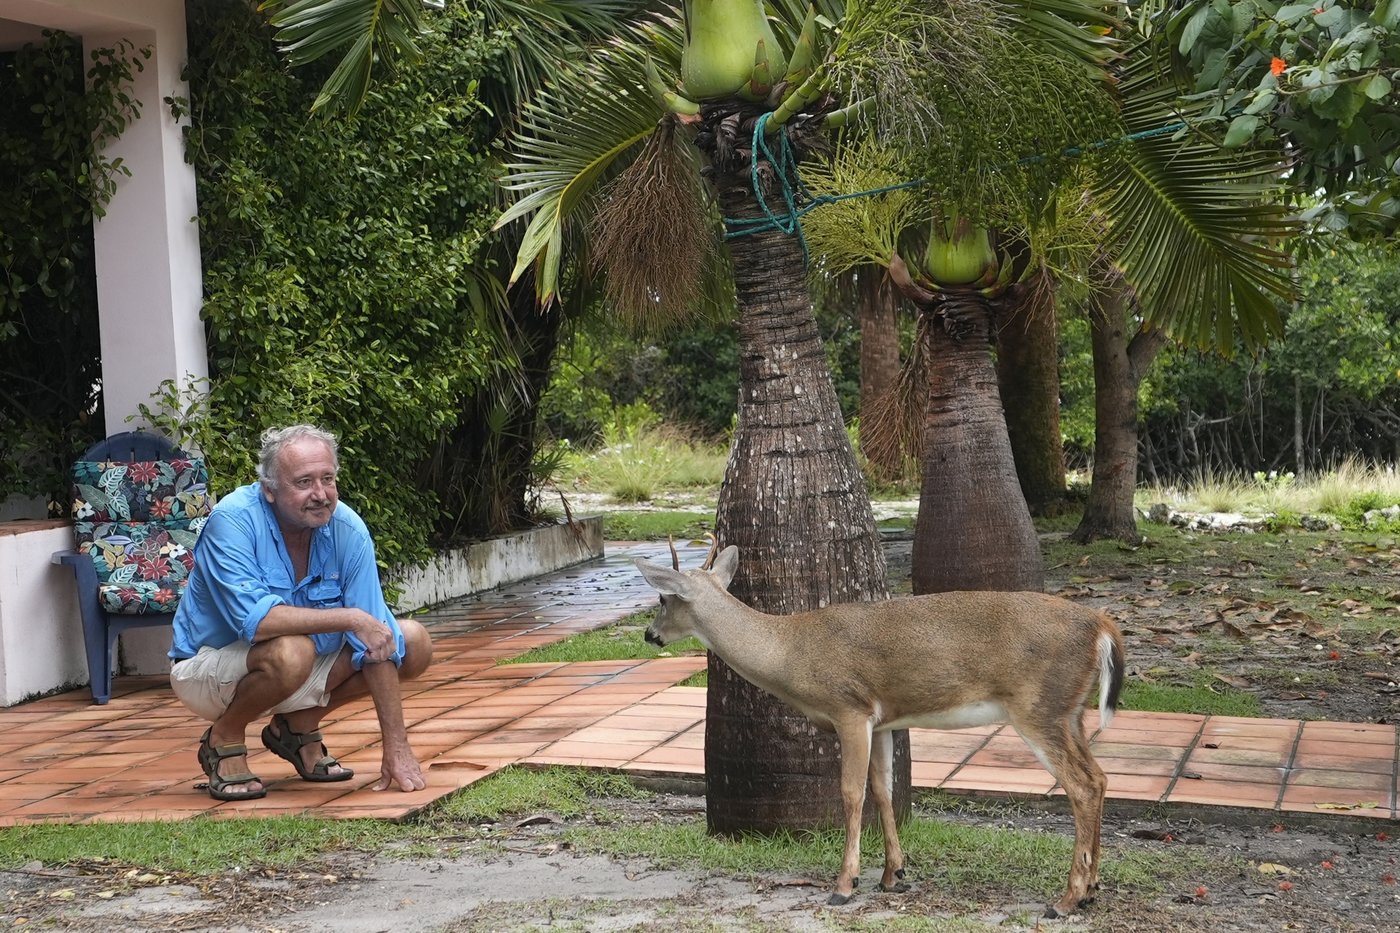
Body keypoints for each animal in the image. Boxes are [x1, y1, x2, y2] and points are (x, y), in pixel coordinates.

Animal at [636, 543, 1125, 919]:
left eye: (662, 599)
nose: (649, 635)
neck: (790, 652)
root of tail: (1103, 627)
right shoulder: (884, 721)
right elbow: (883, 788)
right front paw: (894, 875)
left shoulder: (848, 708)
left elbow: (851, 792)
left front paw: (844, 884)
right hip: (1071, 712)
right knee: (1100, 778)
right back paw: (1091, 890)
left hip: (1037, 707)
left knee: (1081, 785)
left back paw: (1066, 900)